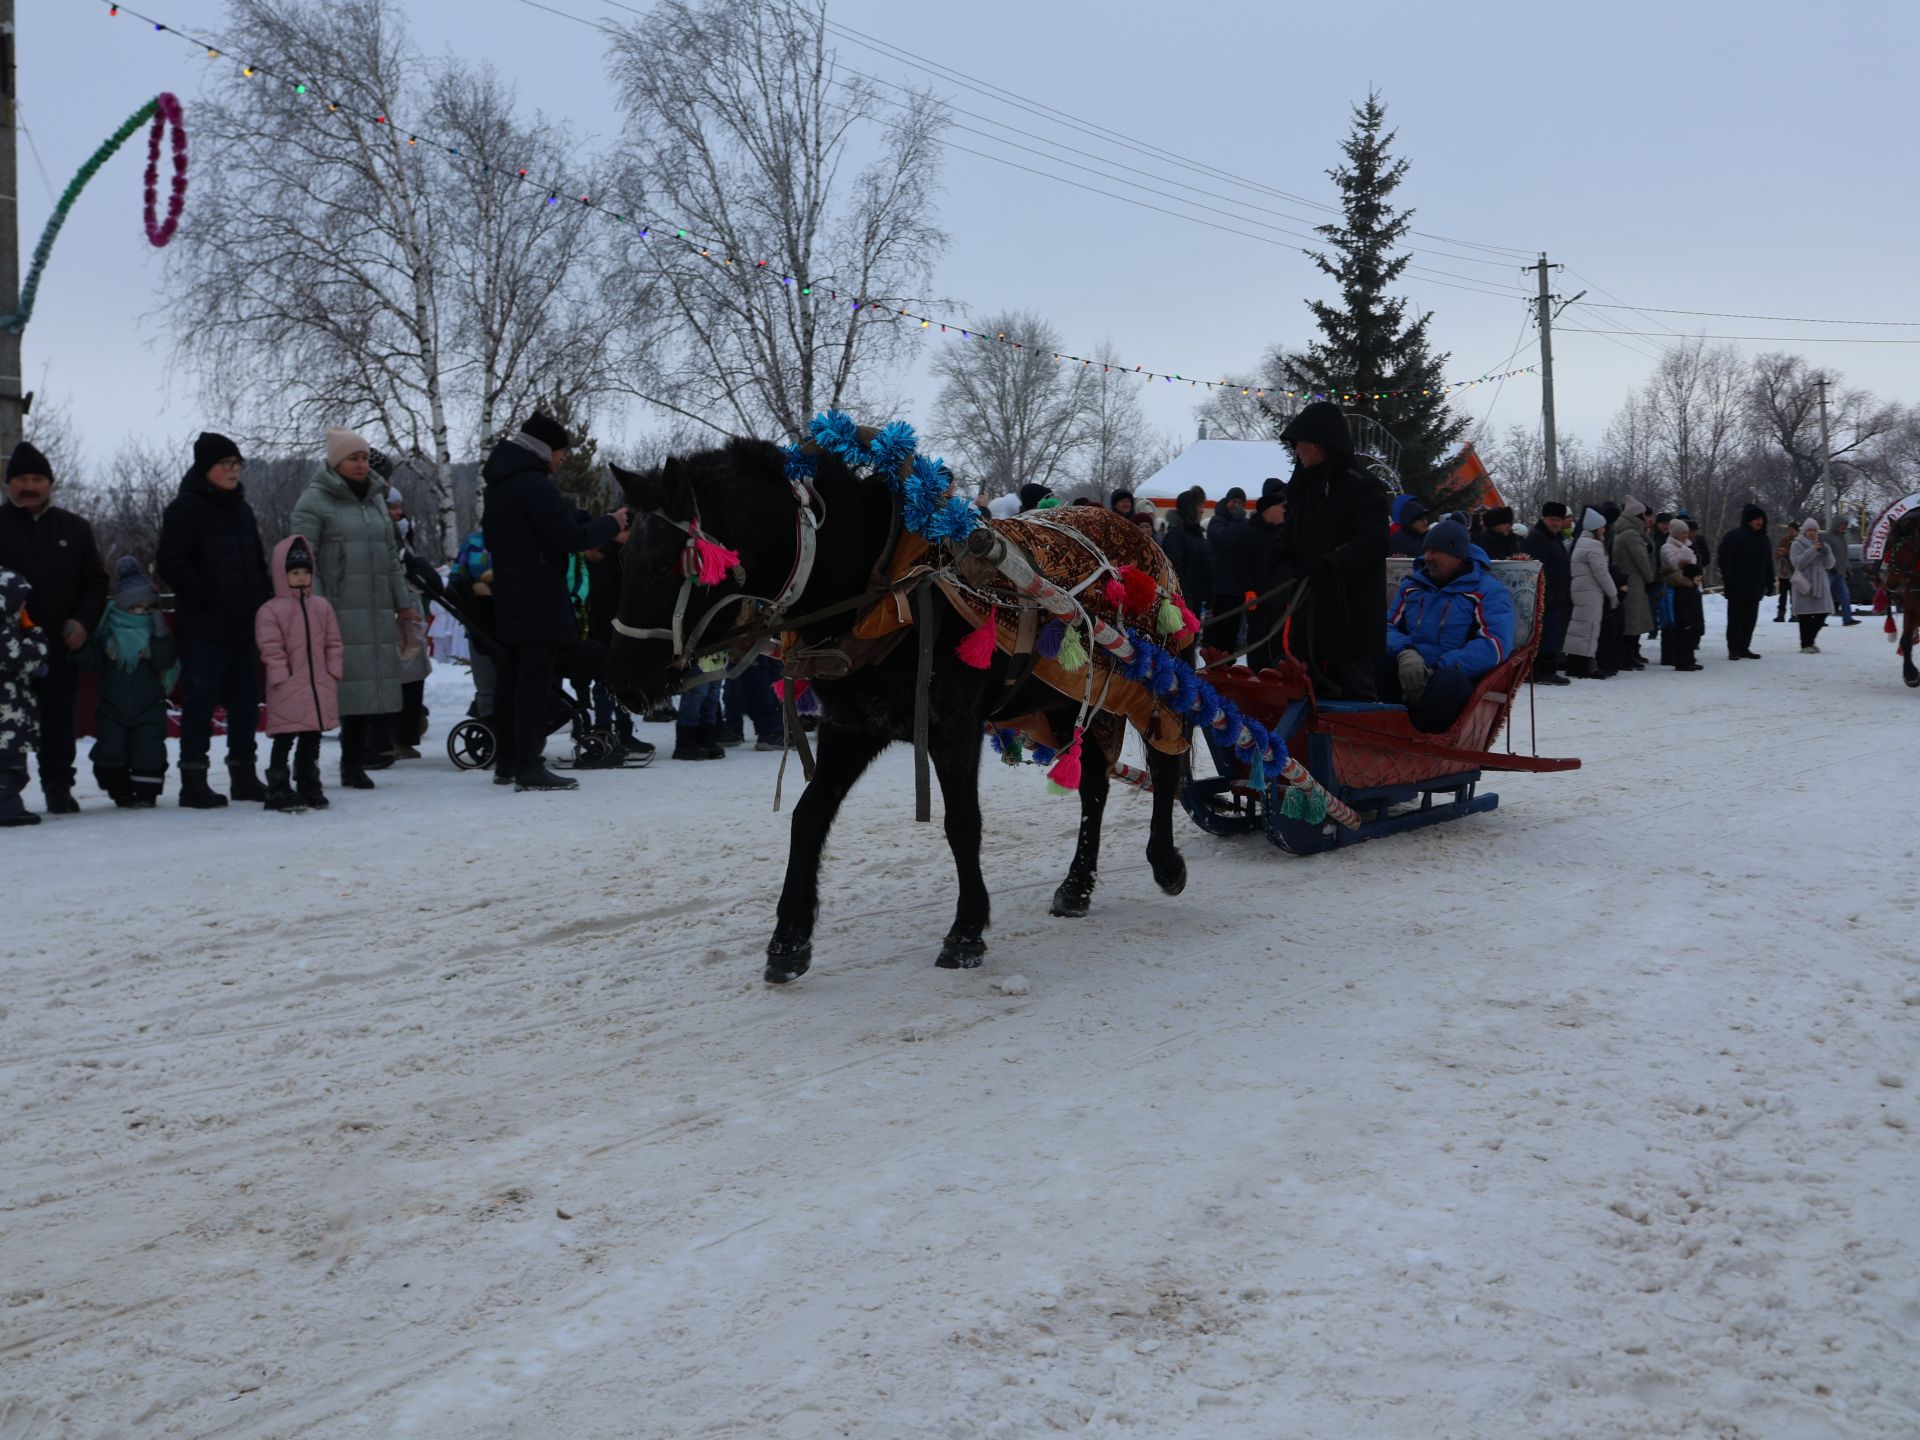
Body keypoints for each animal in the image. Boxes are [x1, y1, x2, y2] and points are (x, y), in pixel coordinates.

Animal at [610, 433, 1182, 990]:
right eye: (625, 557)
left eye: (662, 563)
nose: (623, 684)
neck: (882, 584)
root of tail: (1133, 532)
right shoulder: (851, 727)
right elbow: (807, 818)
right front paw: (789, 941)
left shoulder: (953, 727)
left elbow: (962, 823)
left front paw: (966, 933)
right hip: (1067, 701)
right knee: (1094, 787)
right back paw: (1078, 885)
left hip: (1151, 683)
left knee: (1166, 764)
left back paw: (1166, 861)